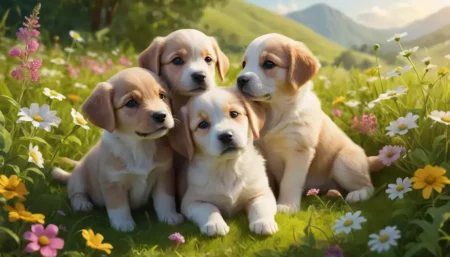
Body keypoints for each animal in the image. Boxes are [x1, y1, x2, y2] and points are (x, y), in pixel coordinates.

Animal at [52, 67, 185, 231]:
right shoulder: (113, 181)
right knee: (76, 193)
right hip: (79, 176)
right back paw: (82, 203)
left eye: (162, 96)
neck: (139, 145)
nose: (161, 115)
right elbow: (119, 207)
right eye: (131, 103)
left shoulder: (163, 173)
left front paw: (169, 216)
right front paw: (123, 224)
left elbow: (165, 200)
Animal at [171, 87, 280, 235]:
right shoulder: (191, 201)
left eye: (234, 114)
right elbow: (208, 208)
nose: (226, 136)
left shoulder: (262, 192)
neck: (228, 168)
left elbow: (259, 205)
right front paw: (214, 224)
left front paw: (263, 223)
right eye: (203, 124)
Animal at [234, 34, 384, 214]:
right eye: (244, 64)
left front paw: (287, 206)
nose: (240, 80)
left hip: (344, 161)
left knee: (368, 185)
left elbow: (289, 182)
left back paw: (358, 194)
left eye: (268, 64)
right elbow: (266, 179)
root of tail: (366, 160)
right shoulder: (261, 151)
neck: (276, 111)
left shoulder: (299, 151)